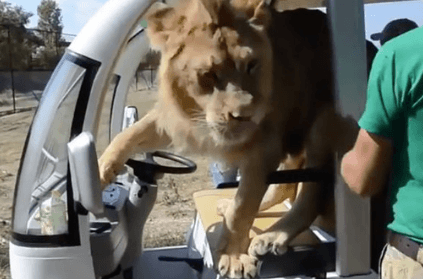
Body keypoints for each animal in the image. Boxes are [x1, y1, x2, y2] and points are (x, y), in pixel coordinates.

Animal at [98, 1, 358, 278]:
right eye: (208, 74)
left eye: (251, 65)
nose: (244, 115)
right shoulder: (177, 121)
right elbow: (130, 133)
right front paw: (99, 170)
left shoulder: (264, 147)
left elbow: (243, 208)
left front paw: (233, 257)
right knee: (285, 187)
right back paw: (227, 204)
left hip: (323, 120)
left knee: (311, 193)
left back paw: (270, 238)